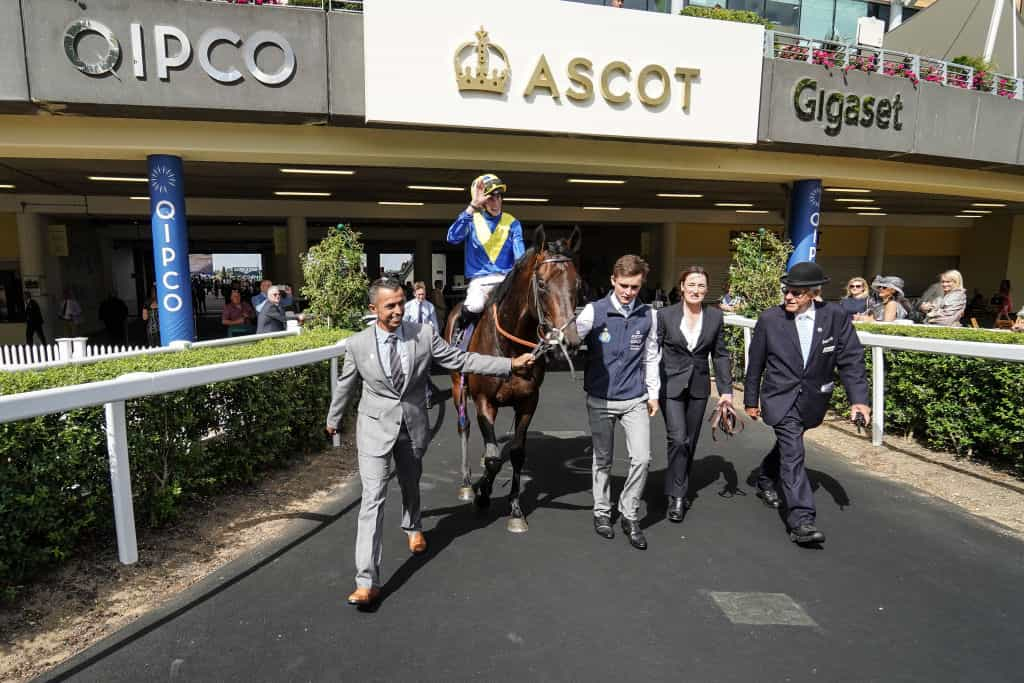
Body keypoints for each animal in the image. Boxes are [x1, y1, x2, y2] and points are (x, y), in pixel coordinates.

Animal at [442, 227, 581, 532]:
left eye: (578, 283)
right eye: (541, 284)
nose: (569, 340)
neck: (510, 348)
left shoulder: (528, 401)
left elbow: (516, 453)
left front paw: (515, 510)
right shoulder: (485, 401)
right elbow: (494, 458)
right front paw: (482, 494)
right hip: (458, 388)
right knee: (464, 427)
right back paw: (467, 482)